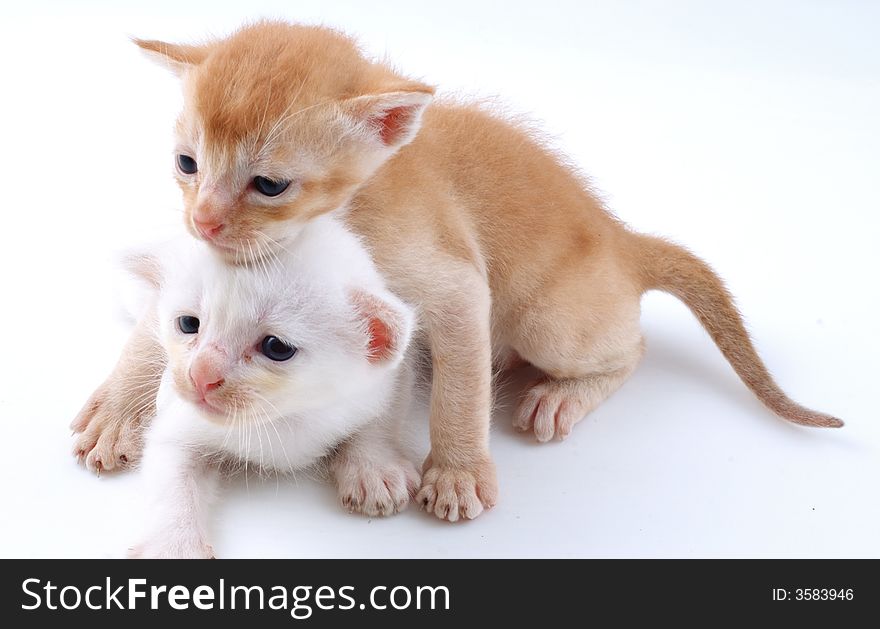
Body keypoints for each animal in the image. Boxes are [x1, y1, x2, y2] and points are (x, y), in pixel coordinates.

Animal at [125, 213, 422, 556]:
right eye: (188, 324)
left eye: (276, 347)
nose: (200, 375)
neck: (284, 419)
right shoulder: (179, 428)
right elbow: (172, 483)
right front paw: (173, 546)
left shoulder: (392, 374)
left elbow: (383, 414)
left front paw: (373, 466)